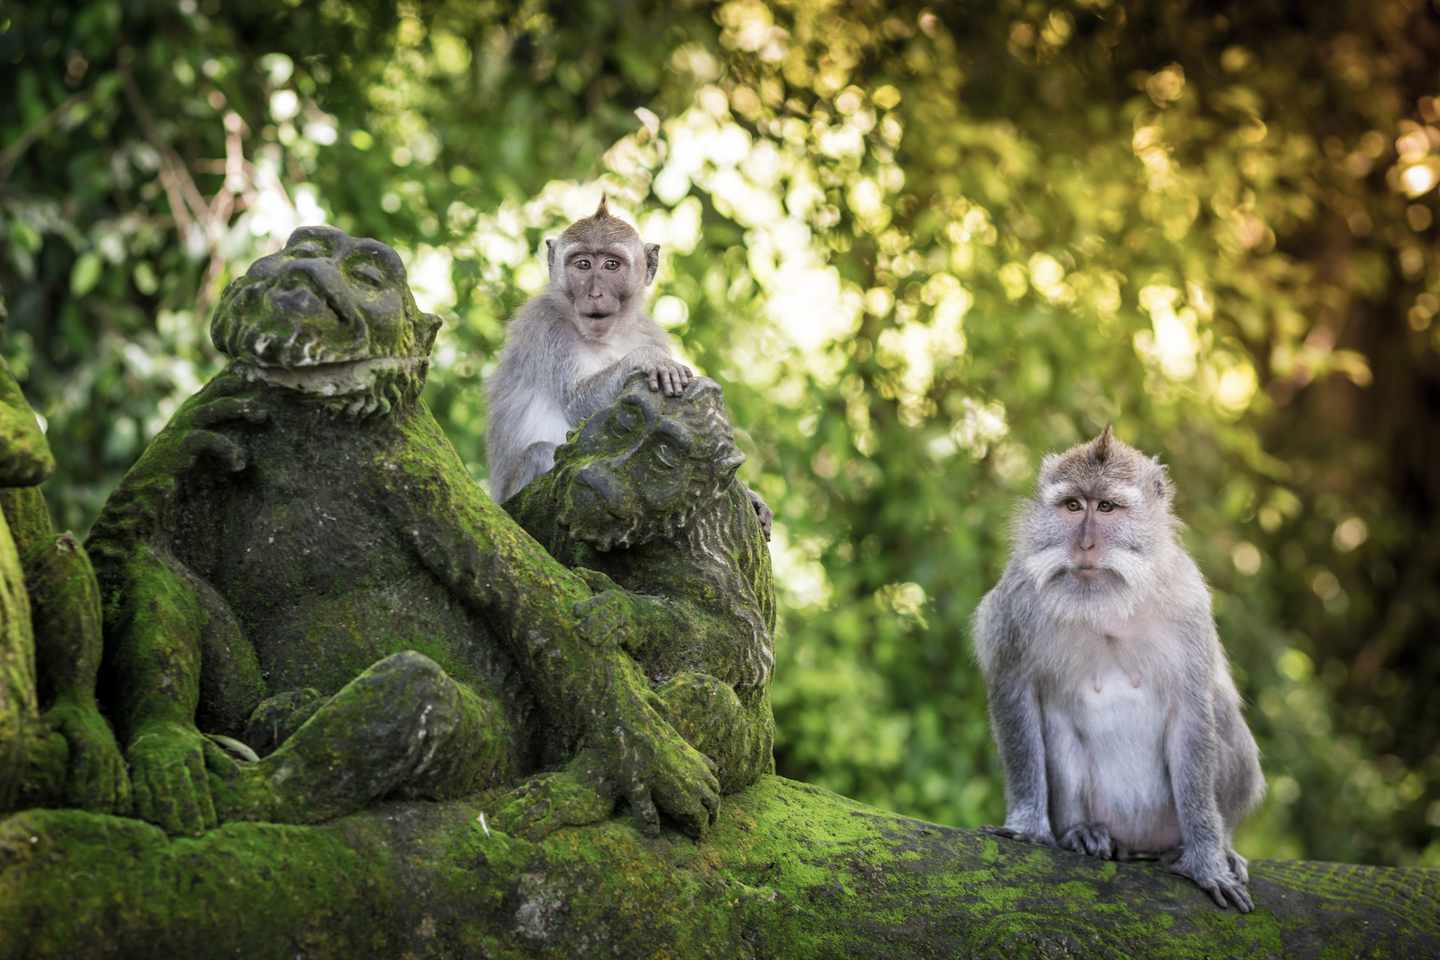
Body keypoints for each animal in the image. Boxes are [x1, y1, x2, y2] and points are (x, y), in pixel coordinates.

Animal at [486, 197, 774, 538]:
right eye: (583, 264)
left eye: (611, 265)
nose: (594, 293)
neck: (605, 335)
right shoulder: (546, 326)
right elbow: (575, 402)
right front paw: (648, 359)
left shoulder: (649, 330)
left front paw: (750, 495)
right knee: (541, 451)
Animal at [972, 426, 1264, 912]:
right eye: (1074, 506)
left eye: (1106, 507)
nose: (1085, 545)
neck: (1106, 603)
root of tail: (1137, 844)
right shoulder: (1017, 603)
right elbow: (1015, 691)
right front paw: (1029, 826)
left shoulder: (1188, 603)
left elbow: (1193, 713)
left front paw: (1207, 861)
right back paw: (1082, 832)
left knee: (1222, 715)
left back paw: (1211, 846)